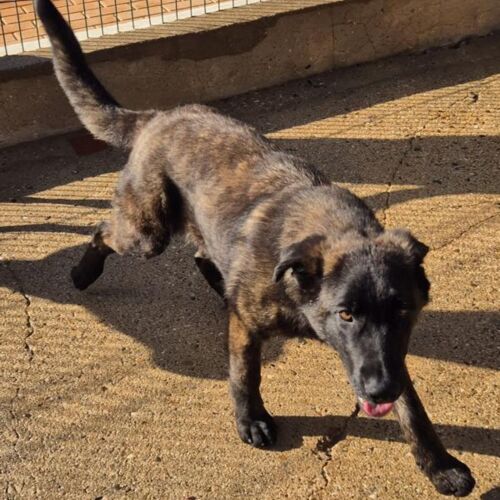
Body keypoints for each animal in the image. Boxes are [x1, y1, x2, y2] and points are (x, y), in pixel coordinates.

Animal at [35, 0, 475, 495]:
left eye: (402, 310)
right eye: (346, 314)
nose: (379, 391)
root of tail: (158, 116)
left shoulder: (387, 359)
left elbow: (413, 408)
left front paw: (439, 464)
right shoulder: (250, 327)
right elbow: (245, 374)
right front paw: (252, 420)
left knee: (201, 252)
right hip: (147, 232)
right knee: (103, 230)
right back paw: (83, 273)